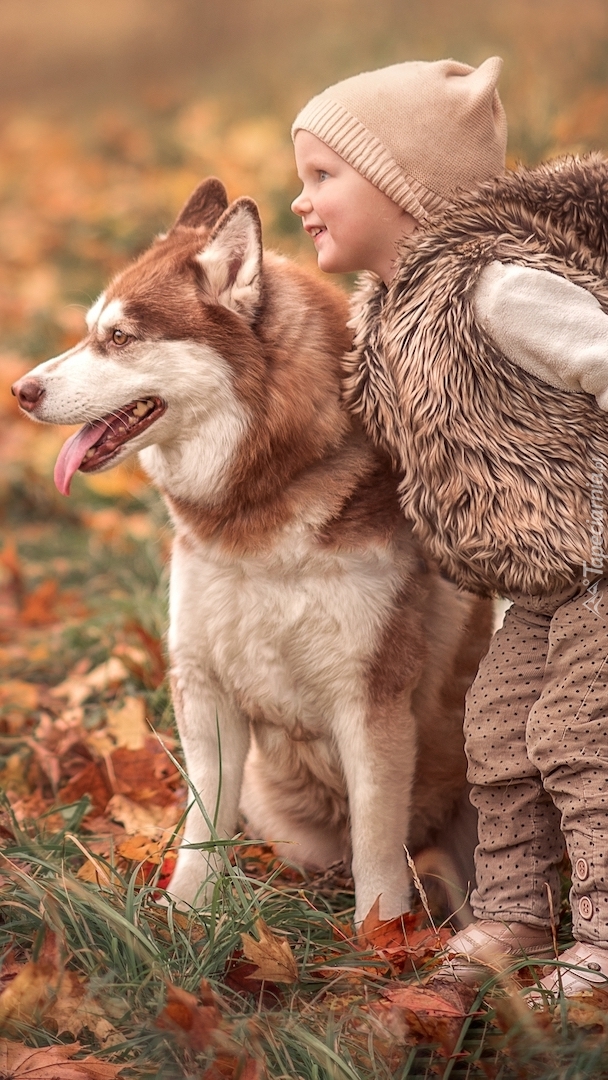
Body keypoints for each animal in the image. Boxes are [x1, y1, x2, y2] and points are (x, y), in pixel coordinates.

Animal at [11, 181, 492, 924]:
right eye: (93, 329)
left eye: (119, 338)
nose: (22, 390)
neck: (257, 520)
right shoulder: (204, 687)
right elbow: (201, 824)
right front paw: (184, 917)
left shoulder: (371, 701)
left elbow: (377, 844)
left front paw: (380, 937)